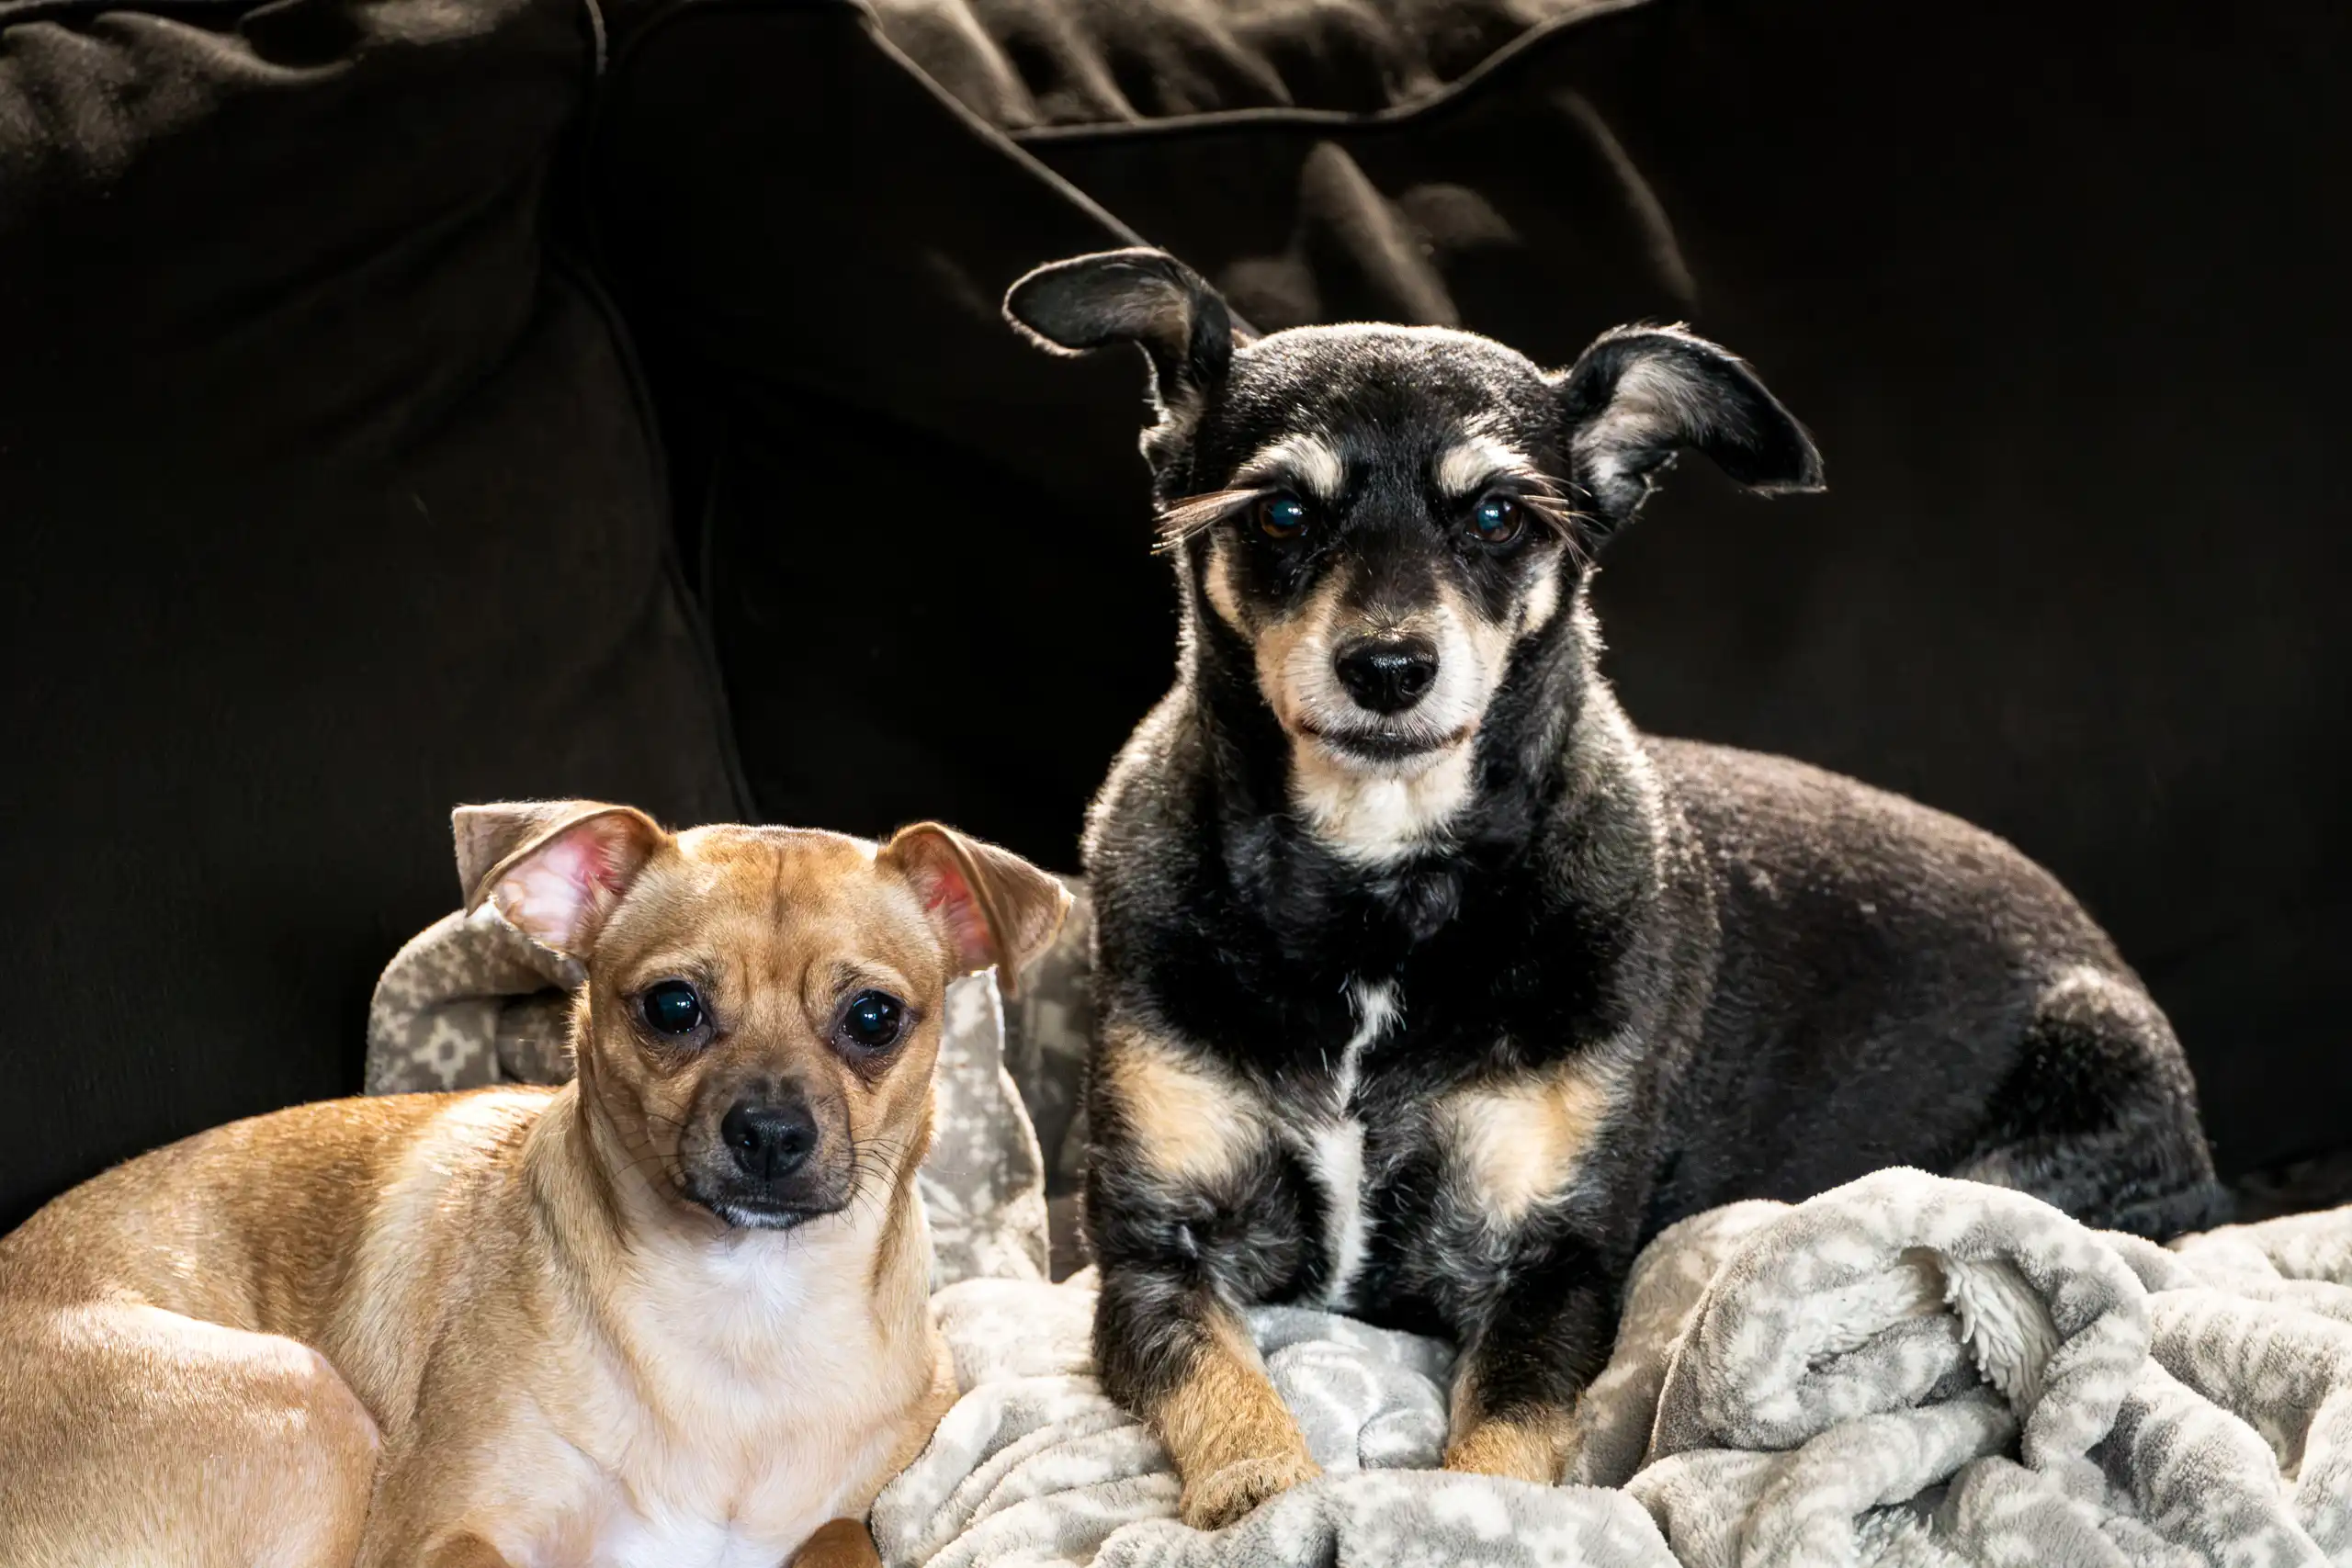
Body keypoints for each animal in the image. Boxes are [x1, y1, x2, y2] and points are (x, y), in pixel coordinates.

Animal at [0, 804, 1068, 1561]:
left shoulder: (851, 1511)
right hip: (307, 1409)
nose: (768, 1130)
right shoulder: (439, 1537)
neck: (743, 1311)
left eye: (875, 1018)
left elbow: (843, 1537)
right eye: (672, 1007)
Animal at [1006, 247, 2220, 1532]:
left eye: (1496, 515)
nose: (1387, 667)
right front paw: (1267, 1491)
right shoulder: (1153, 1250)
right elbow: (1221, 1385)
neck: (1376, 889)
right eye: (1280, 511)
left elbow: (1504, 1444)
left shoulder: (1554, 1264)